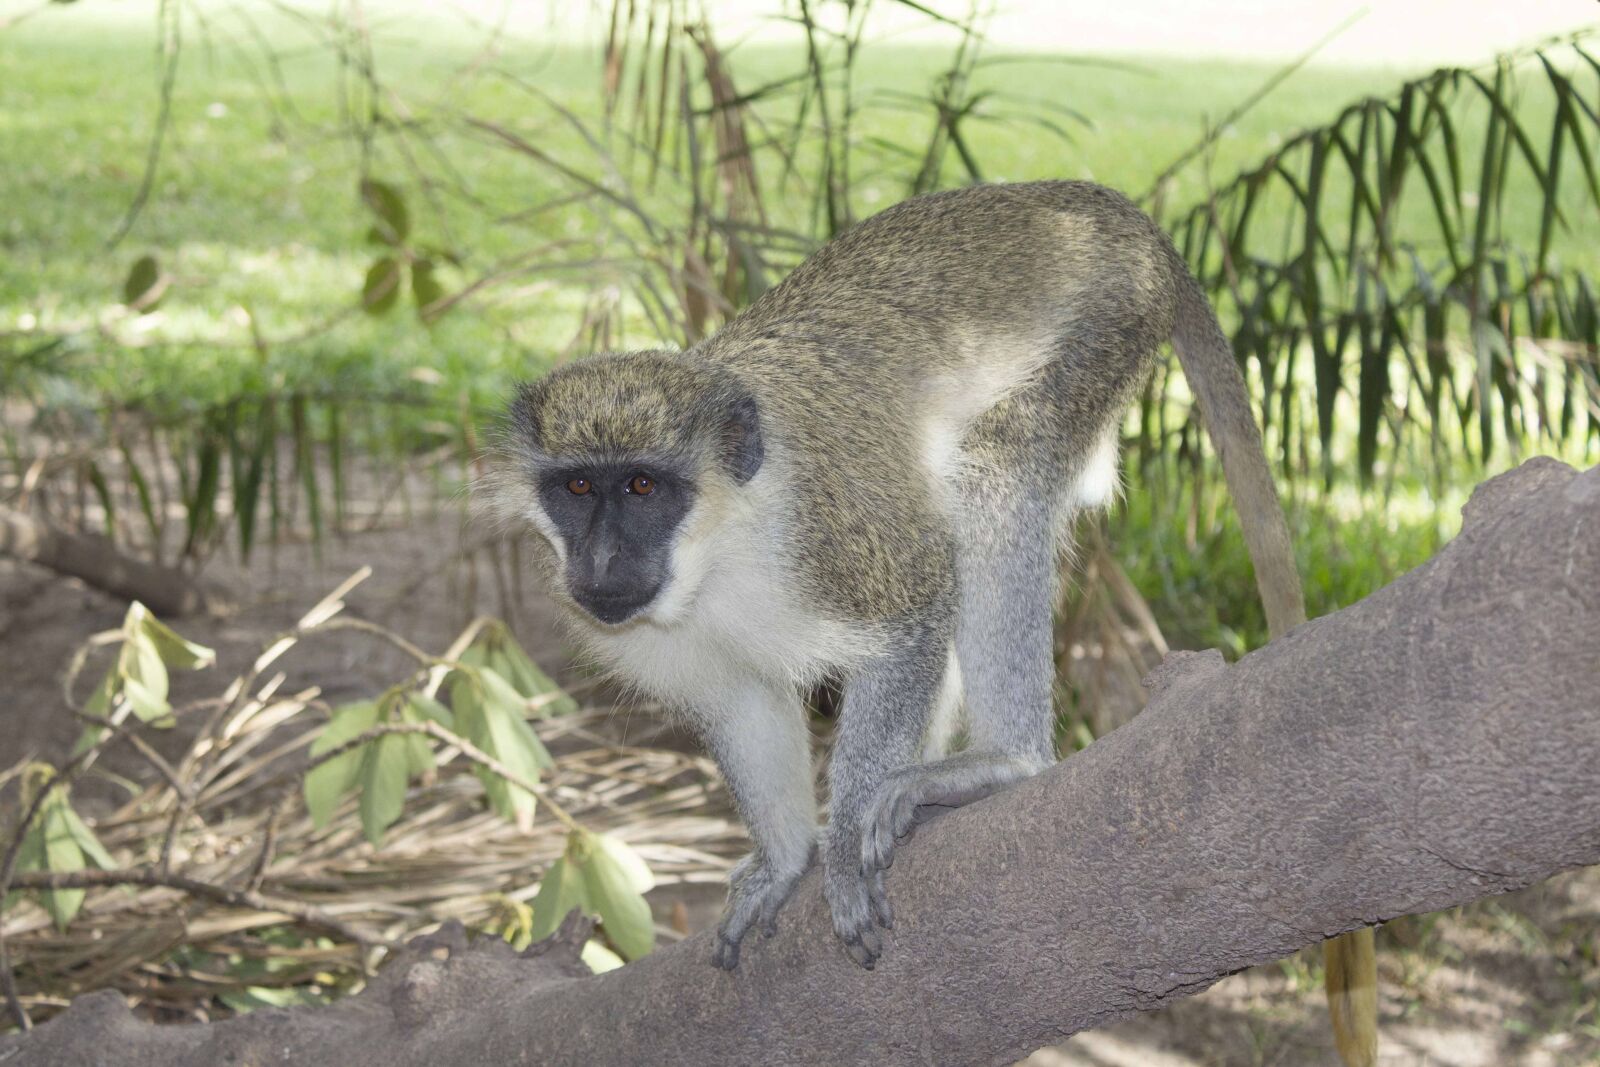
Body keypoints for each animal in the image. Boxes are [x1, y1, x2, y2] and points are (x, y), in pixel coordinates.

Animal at [498, 178, 1375, 1065]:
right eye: (578, 489)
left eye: (642, 487)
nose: (600, 561)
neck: (718, 548)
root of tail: (1094, 203)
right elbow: (742, 703)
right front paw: (785, 860)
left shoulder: (836, 535)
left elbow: (913, 618)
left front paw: (843, 838)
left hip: (1108, 316)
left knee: (998, 465)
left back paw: (1003, 761)